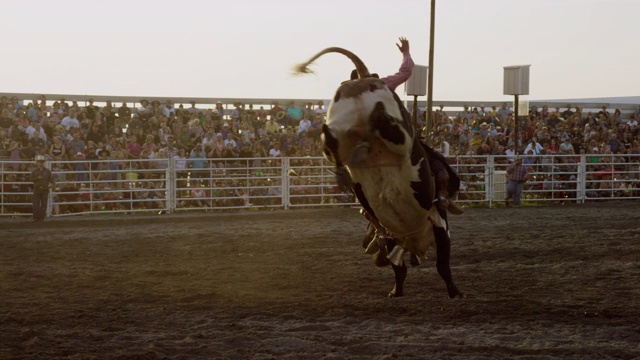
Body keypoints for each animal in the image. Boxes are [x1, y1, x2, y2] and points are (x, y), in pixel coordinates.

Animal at [296, 45, 464, 298]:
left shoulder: (402, 232)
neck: (411, 236)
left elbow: (412, 266)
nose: (369, 247)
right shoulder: (433, 227)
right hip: (399, 138)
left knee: (334, 140)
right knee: (389, 127)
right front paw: (452, 291)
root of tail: (363, 77)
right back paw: (377, 116)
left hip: (340, 122)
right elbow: (435, 265)